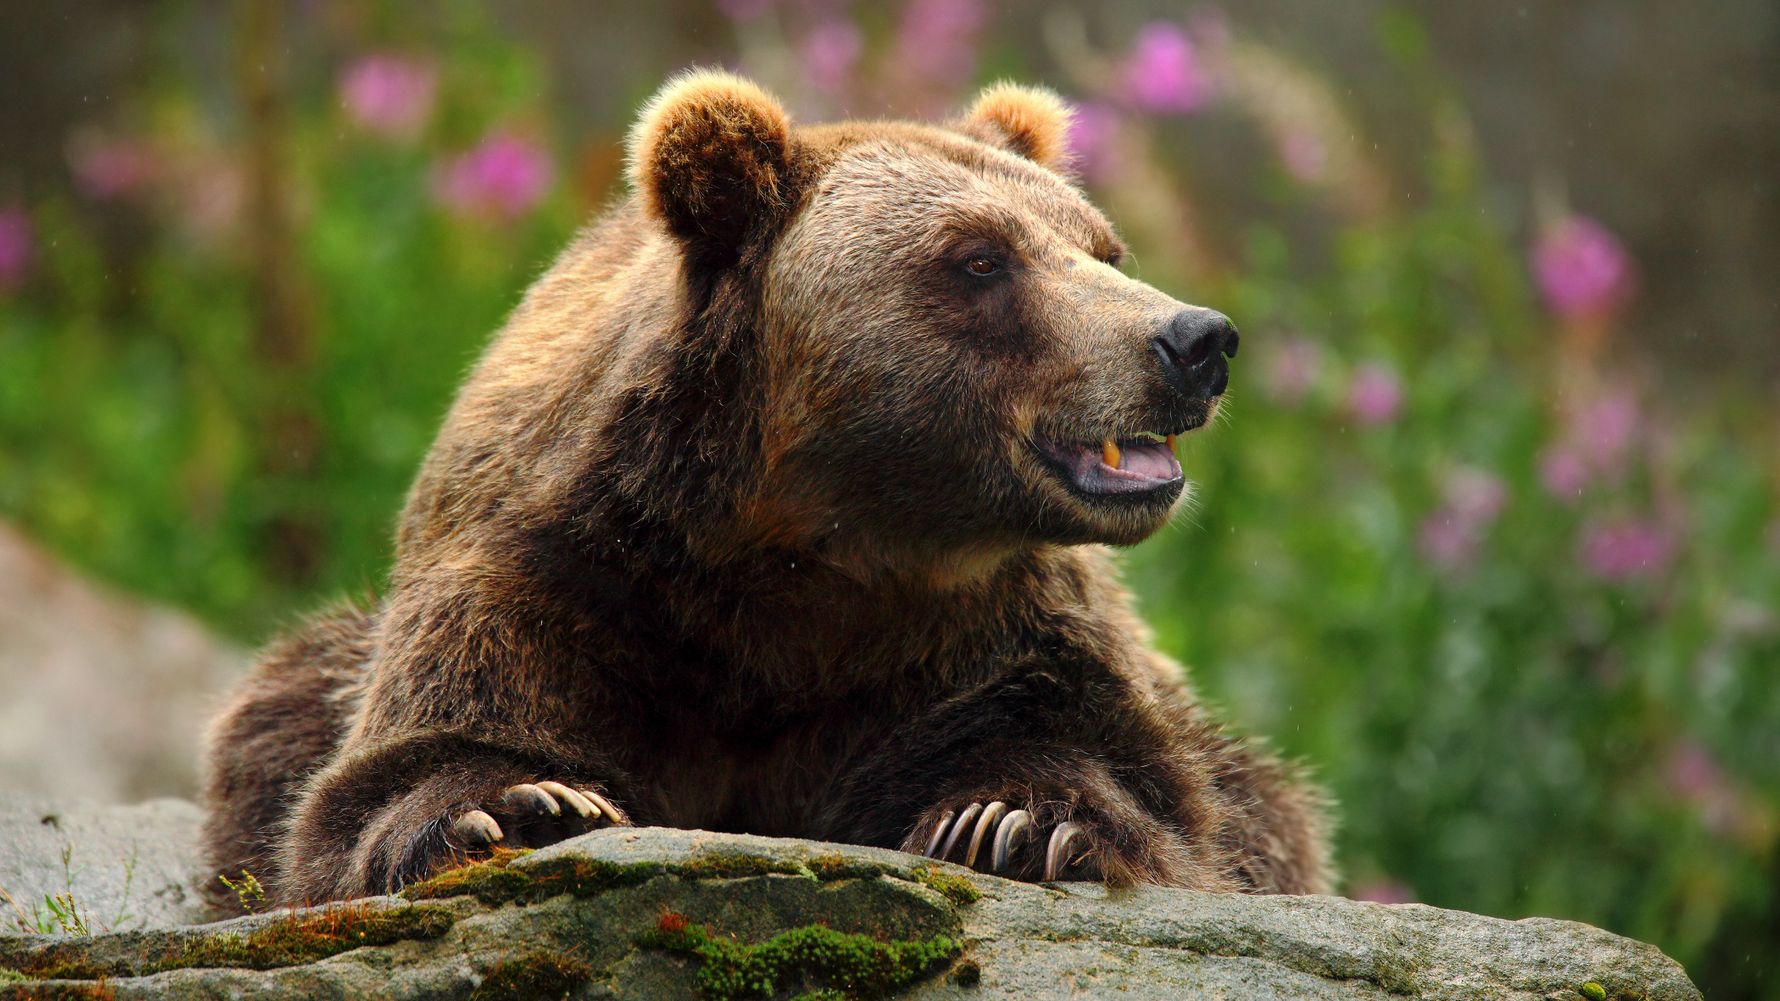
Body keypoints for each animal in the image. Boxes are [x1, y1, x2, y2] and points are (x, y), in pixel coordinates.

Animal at [200, 70, 1332, 909]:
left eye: (1103, 248)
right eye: (980, 258)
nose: (1193, 340)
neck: (807, 541)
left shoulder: (985, 629)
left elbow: (1124, 771)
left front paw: (1016, 820)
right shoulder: (560, 573)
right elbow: (404, 758)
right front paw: (522, 804)